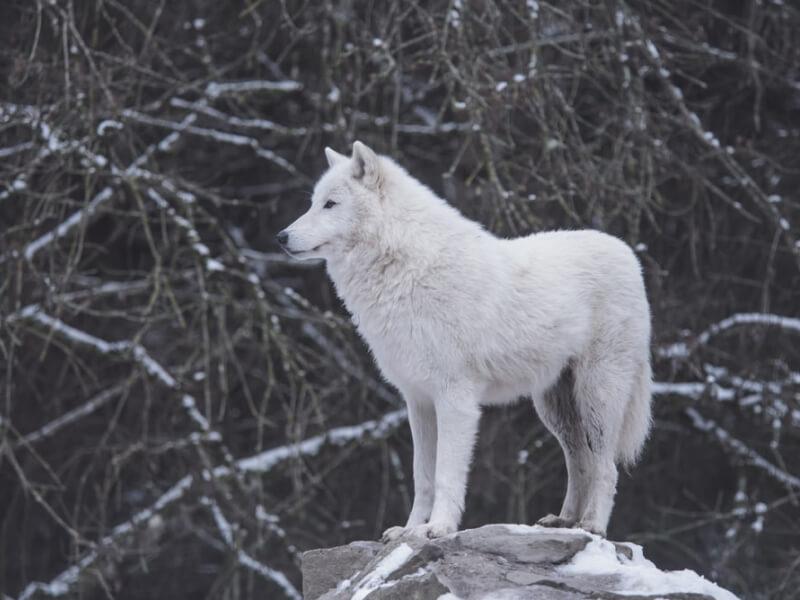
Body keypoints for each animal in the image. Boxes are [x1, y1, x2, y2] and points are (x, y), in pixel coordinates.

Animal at [278, 141, 652, 540]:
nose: (281, 237)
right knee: (579, 461)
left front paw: (439, 528)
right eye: (312, 202)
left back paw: (592, 525)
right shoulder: (418, 401)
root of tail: (628, 253)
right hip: (554, 408)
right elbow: (422, 476)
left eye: (330, 204)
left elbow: (445, 474)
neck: (406, 268)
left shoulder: (455, 399)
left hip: (597, 396)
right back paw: (564, 522)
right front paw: (408, 530)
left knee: (605, 466)